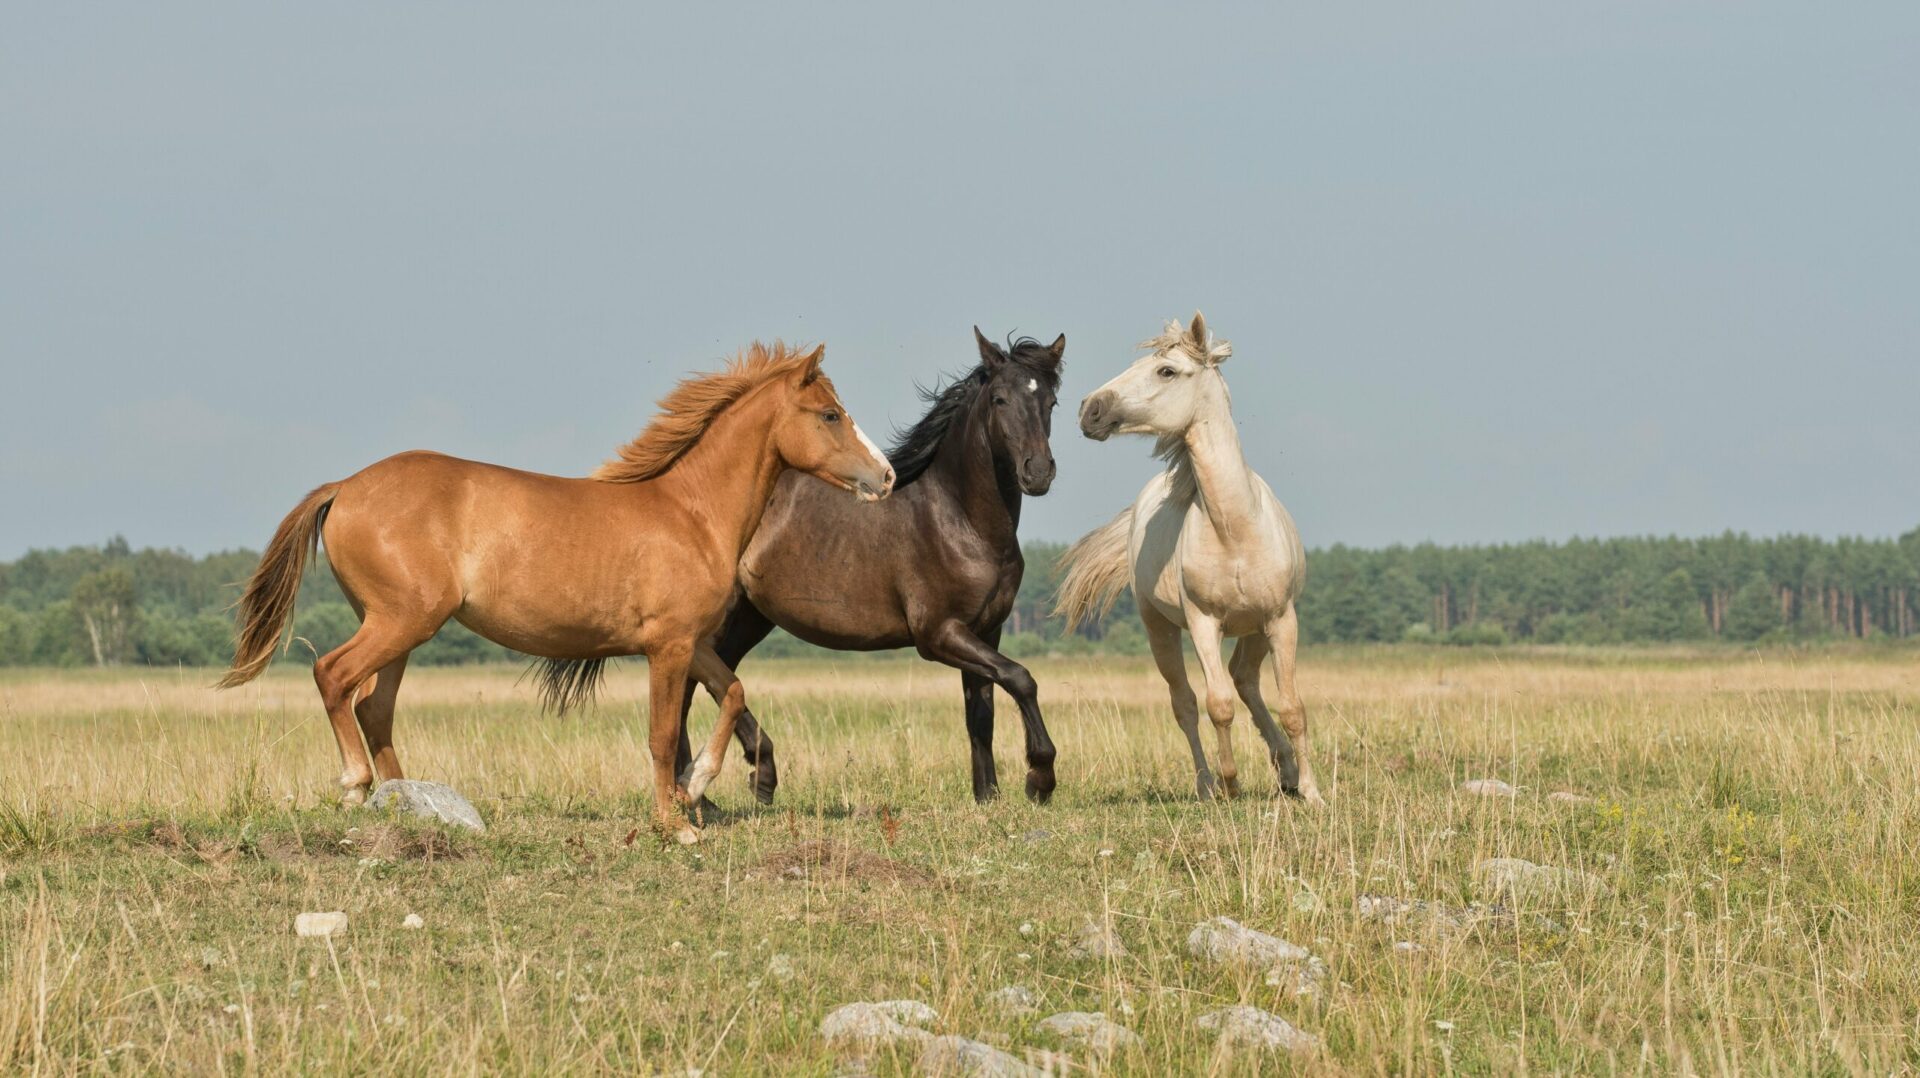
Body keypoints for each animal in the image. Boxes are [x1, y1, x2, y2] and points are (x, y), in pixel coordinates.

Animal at [216, 342, 895, 841]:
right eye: (830, 414)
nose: (885, 477)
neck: (691, 513)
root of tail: (345, 486)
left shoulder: (693, 643)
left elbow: (732, 694)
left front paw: (697, 786)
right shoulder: (668, 648)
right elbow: (661, 734)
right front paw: (674, 823)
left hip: (399, 630)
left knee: (373, 706)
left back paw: (408, 802)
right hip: (400, 621)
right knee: (333, 676)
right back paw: (357, 788)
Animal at [663, 328, 1065, 804]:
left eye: (1051, 402)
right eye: (1000, 399)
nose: (1037, 473)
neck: (960, 520)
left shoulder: (987, 630)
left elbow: (981, 714)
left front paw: (988, 796)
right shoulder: (939, 634)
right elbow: (1021, 678)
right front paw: (1039, 777)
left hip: (749, 617)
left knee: (710, 684)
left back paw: (732, 783)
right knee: (691, 687)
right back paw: (712, 788)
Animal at [1056, 313, 1323, 804]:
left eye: (1166, 371)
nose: (1090, 409)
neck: (1235, 529)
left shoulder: (1281, 619)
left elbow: (1292, 706)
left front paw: (1312, 793)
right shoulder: (1203, 623)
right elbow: (1217, 705)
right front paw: (1231, 783)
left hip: (1255, 629)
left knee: (1245, 680)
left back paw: (1287, 771)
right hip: (1159, 627)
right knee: (1186, 703)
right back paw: (1207, 784)